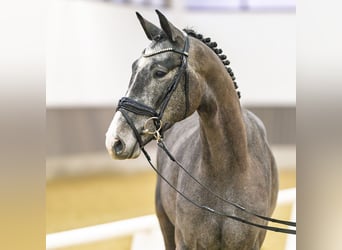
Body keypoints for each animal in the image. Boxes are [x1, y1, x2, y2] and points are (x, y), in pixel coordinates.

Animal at [106, 10, 278, 250]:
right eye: (133, 68)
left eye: (159, 72)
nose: (115, 140)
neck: (229, 170)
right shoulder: (185, 241)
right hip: (165, 222)